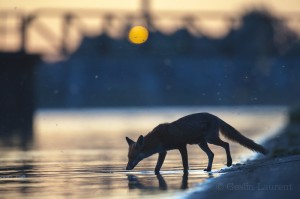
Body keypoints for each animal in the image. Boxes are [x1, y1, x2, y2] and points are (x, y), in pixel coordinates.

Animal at [125, 112, 266, 173]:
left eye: (132, 157)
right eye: (128, 157)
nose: (126, 168)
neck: (158, 138)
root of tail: (215, 116)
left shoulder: (182, 146)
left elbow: (185, 164)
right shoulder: (163, 152)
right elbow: (157, 167)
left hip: (210, 139)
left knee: (226, 144)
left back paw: (229, 162)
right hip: (202, 143)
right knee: (212, 154)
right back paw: (208, 169)